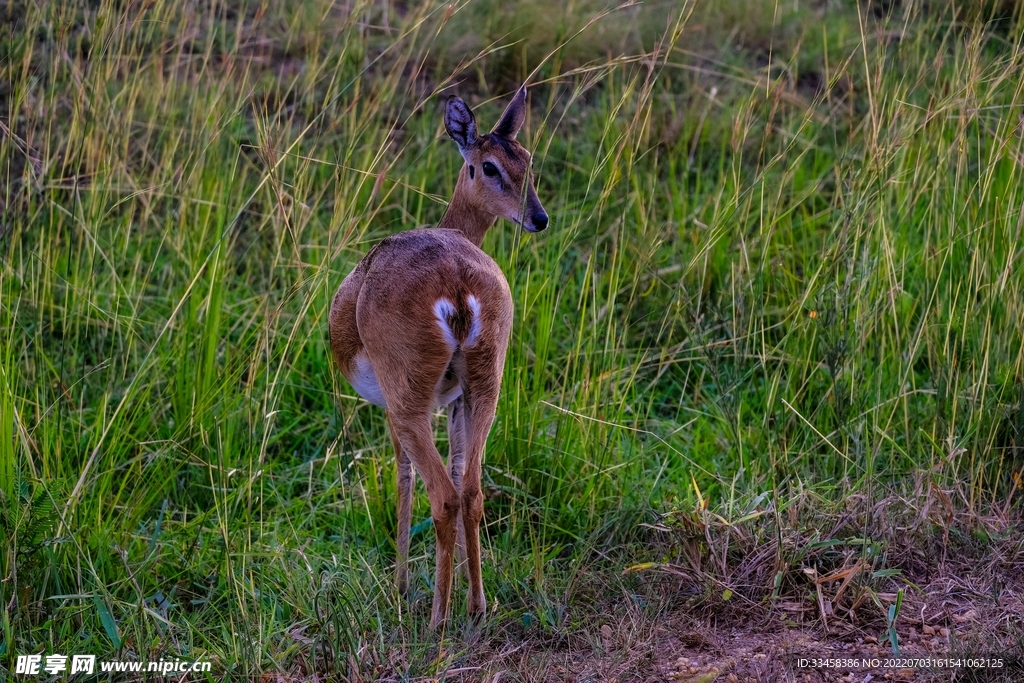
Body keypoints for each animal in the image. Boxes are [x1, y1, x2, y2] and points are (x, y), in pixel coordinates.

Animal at [331, 88, 548, 634]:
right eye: (493, 164)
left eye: (525, 161)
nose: (538, 218)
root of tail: (456, 285)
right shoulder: (452, 401)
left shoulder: (396, 412)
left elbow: (402, 477)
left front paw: (400, 586)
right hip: (485, 387)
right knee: (471, 490)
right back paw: (477, 605)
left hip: (410, 404)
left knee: (443, 495)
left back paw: (436, 617)